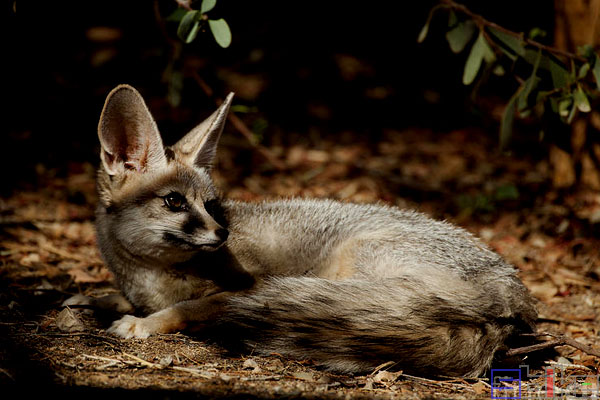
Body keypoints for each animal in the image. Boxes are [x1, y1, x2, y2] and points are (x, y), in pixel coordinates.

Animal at [76, 84, 540, 378]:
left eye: (210, 205)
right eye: (175, 202)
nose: (222, 235)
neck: (150, 277)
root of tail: (510, 291)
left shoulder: (242, 289)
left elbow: (186, 308)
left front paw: (143, 323)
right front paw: (92, 297)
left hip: (353, 260)